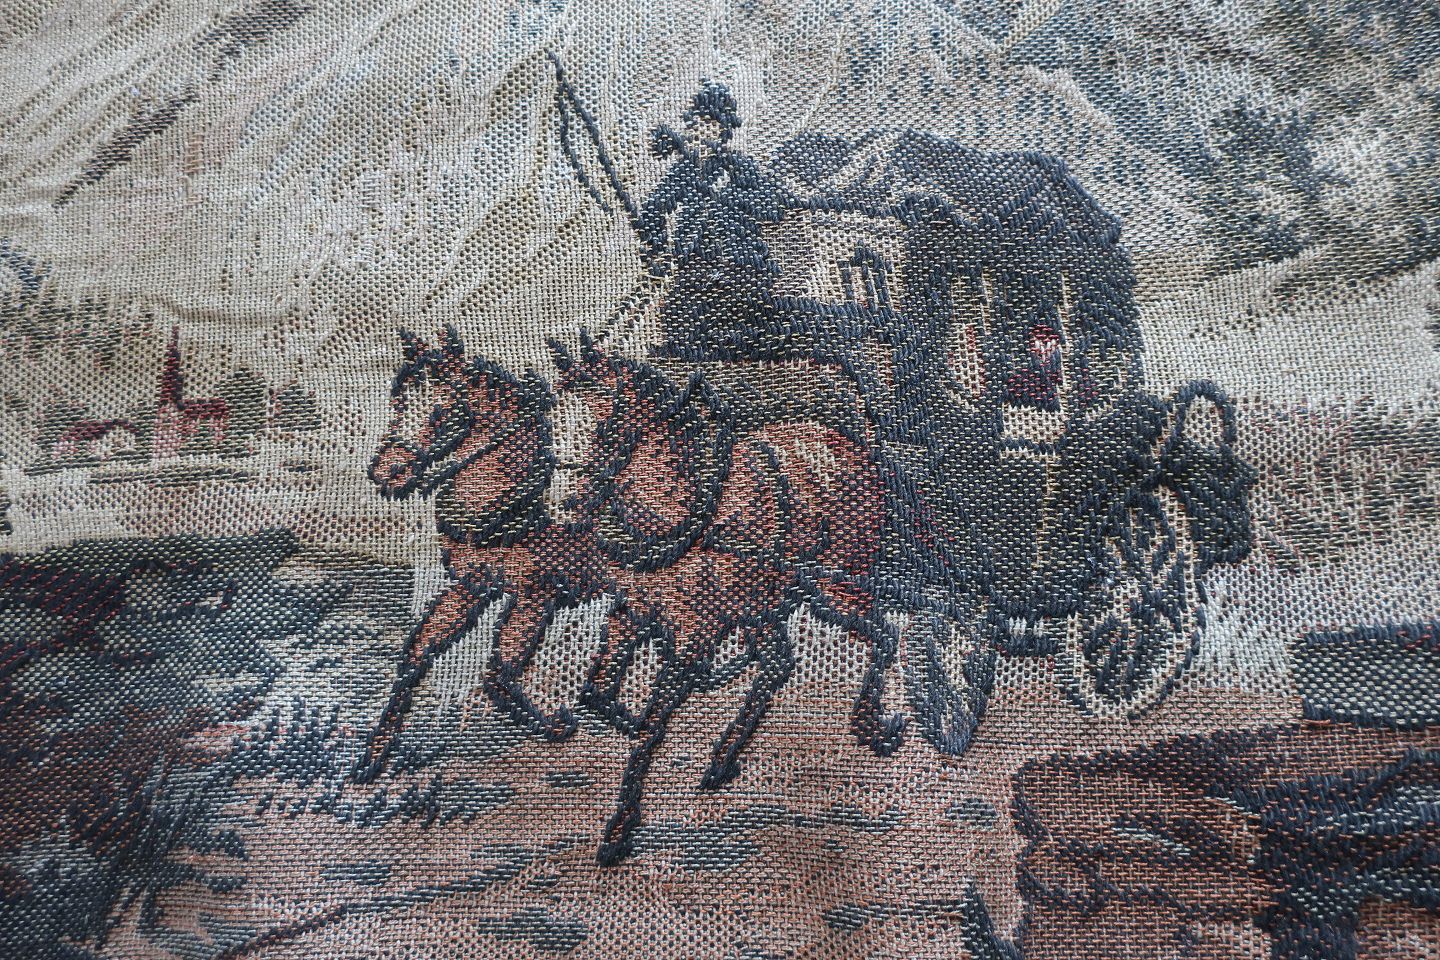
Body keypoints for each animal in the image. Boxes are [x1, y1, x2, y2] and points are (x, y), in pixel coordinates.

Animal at [353, 325, 905, 864]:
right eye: (399, 401)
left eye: (440, 412)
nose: (386, 473)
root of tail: (852, 443)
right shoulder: (485, 584)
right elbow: (424, 654)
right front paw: (373, 757)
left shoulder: (542, 592)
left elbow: (505, 676)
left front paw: (599, 795)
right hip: (760, 598)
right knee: (778, 660)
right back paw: (724, 756)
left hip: (830, 582)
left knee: (882, 633)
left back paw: (872, 727)